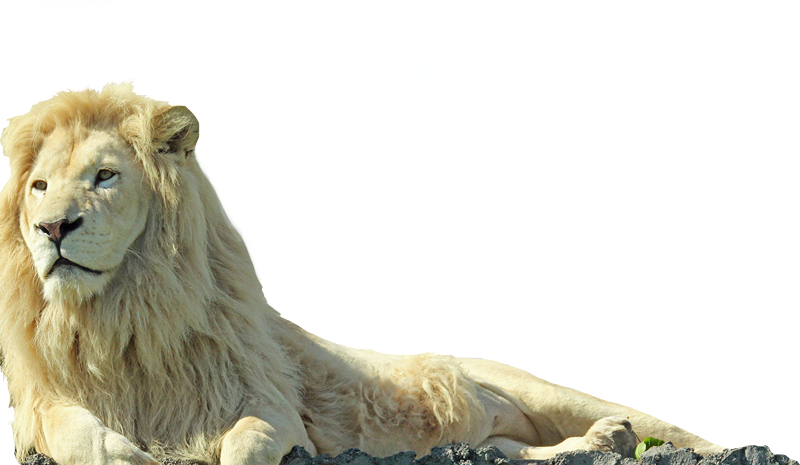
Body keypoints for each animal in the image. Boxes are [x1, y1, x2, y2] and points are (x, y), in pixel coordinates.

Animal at [0, 83, 723, 465]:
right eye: (39, 187)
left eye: (104, 176)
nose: (53, 230)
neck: (124, 312)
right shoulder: (43, 401)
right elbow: (81, 433)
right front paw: (130, 451)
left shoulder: (269, 401)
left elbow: (249, 439)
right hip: (486, 441)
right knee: (514, 452)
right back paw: (601, 441)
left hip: (541, 389)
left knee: (666, 430)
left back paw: (624, 432)